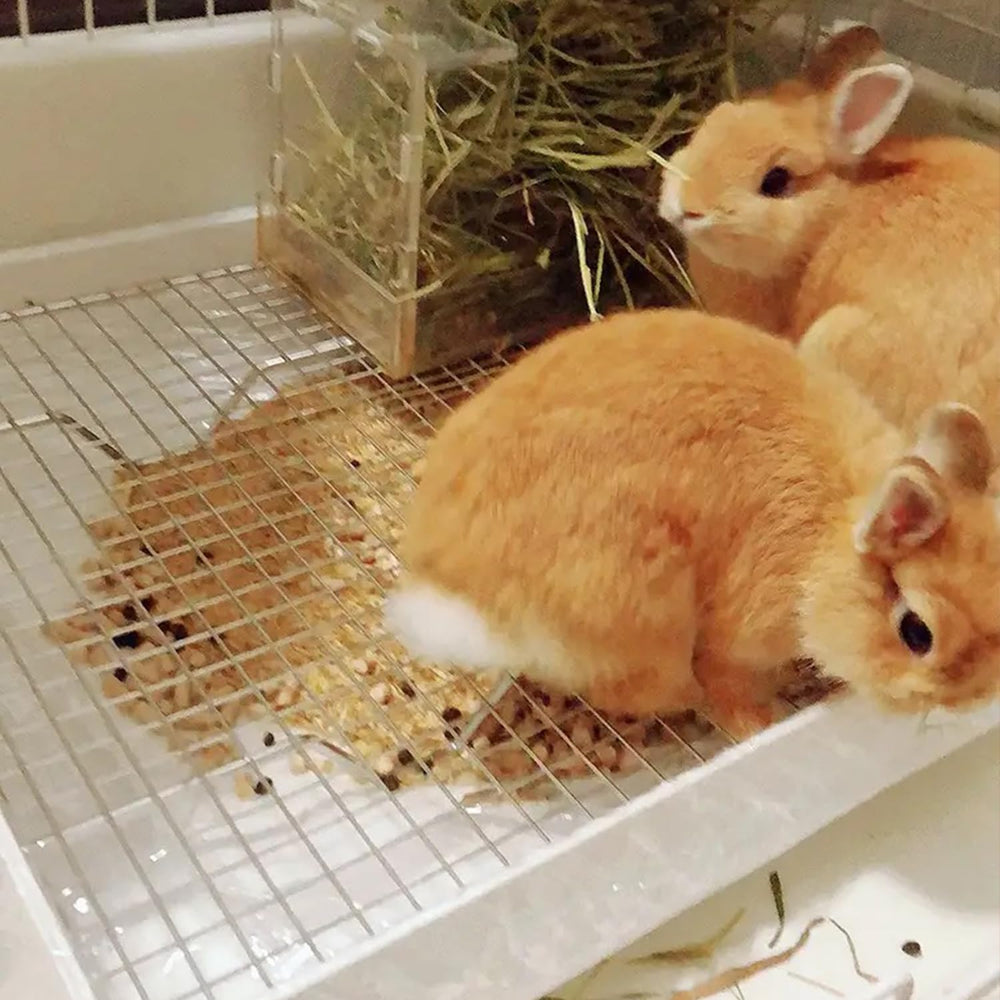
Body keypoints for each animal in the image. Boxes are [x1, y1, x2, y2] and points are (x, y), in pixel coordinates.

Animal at [385, 308, 1000, 739]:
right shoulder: (740, 636)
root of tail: (454, 594)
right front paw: (758, 724)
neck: (826, 542)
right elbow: (726, 680)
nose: (974, 701)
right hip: (643, 611)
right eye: (916, 633)